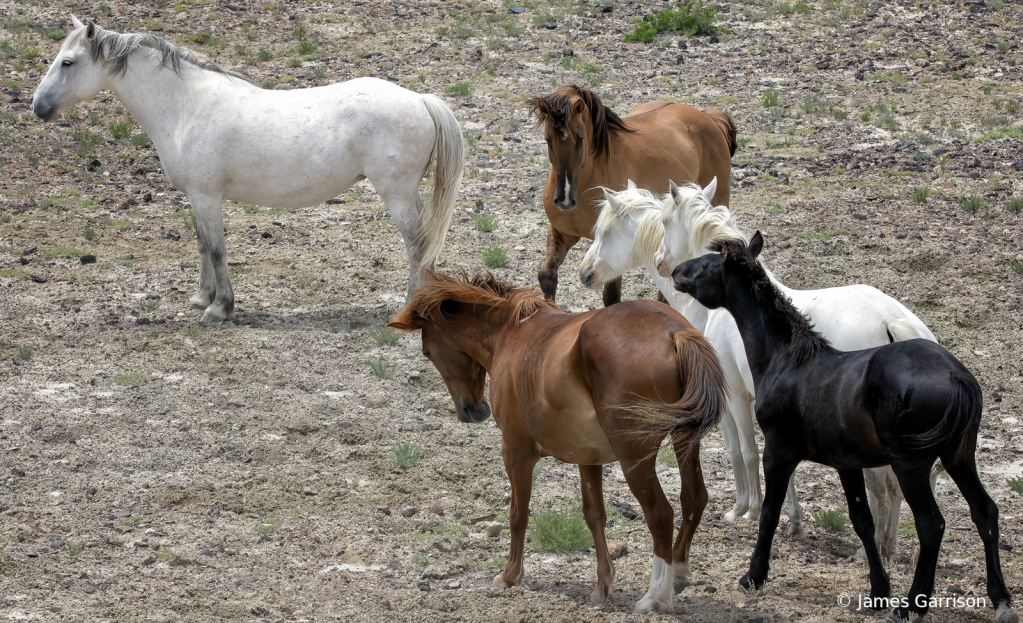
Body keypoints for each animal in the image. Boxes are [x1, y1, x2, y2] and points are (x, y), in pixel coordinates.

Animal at [31, 19, 464, 321]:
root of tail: (421, 99)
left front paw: (220, 308)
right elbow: (202, 245)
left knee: (417, 244)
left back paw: (410, 306)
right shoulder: (196, 199)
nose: (38, 107)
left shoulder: (208, 198)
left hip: (396, 194)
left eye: (67, 62)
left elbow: (218, 250)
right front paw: (201, 298)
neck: (186, 106)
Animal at [388, 272, 728, 613]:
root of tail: (673, 331)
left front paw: (510, 575)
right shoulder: (588, 457)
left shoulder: (516, 450)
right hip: (684, 441)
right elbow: (595, 515)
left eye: (427, 352)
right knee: (693, 497)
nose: (470, 411)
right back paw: (679, 572)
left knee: (660, 515)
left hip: (634, 458)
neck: (512, 333)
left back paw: (655, 596)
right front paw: (603, 586)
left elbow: (518, 514)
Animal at [527, 83, 736, 306]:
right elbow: (547, 277)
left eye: (580, 140)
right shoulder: (562, 232)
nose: (564, 199)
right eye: (548, 140)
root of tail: (707, 116)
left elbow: (611, 297)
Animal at [581, 176, 937, 556]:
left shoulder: (734, 399)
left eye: (604, 232)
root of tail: (892, 321)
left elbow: (743, 452)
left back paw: (874, 545)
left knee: (881, 483)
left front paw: (745, 510)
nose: (585, 273)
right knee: (901, 484)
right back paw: (891, 544)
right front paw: (792, 520)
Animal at [671, 231, 1014, 617]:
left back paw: (913, 603)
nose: (675, 272)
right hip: (960, 457)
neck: (787, 360)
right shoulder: (846, 464)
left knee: (931, 524)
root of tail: (956, 376)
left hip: (911, 466)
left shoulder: (778, 452)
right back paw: (1000, 599)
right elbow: (862, 520)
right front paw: (879, 589)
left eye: (706, 265)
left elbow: (770, 513)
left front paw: (753, 576)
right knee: (985, 512)